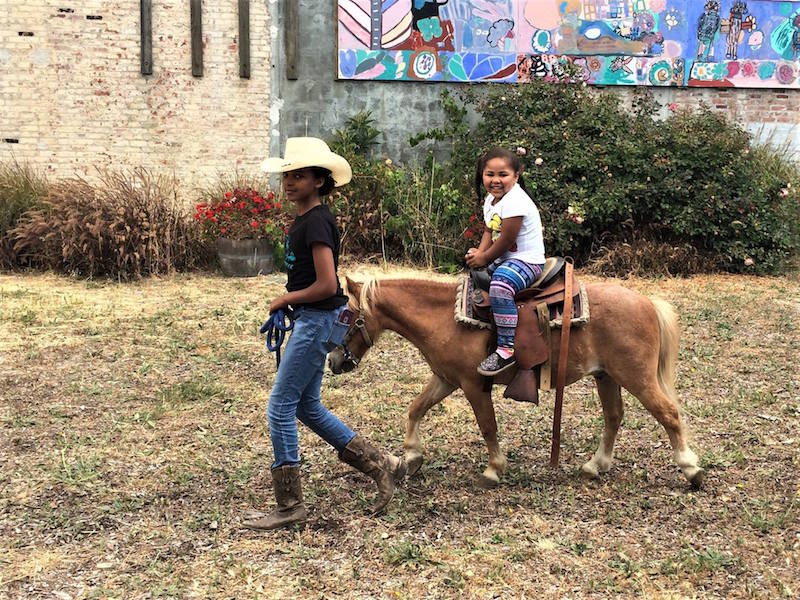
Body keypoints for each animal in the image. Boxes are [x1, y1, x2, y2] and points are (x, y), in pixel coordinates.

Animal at [328, 275, 705, 490]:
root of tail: (647, 303)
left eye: (345, 316)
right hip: (606, 376)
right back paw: (595, 466)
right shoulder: (445, 379)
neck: (444, 318)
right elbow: (415, 409)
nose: (333, 361)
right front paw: (412, 455)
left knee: (669, 414)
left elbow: (488, 426)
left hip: (636, 376)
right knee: (614, 417)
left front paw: (494, 469)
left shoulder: (472, 384)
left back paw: (691, 470)